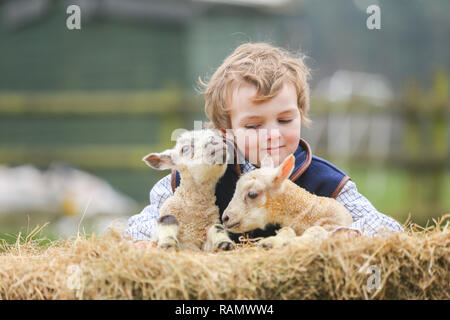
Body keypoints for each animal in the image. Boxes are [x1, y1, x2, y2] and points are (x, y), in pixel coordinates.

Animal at [222, 154, 356, 248]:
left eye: (252, 194)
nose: (225, 218)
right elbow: (286, 230)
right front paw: (272, 242)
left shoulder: (334, 223)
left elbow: (316, 230)